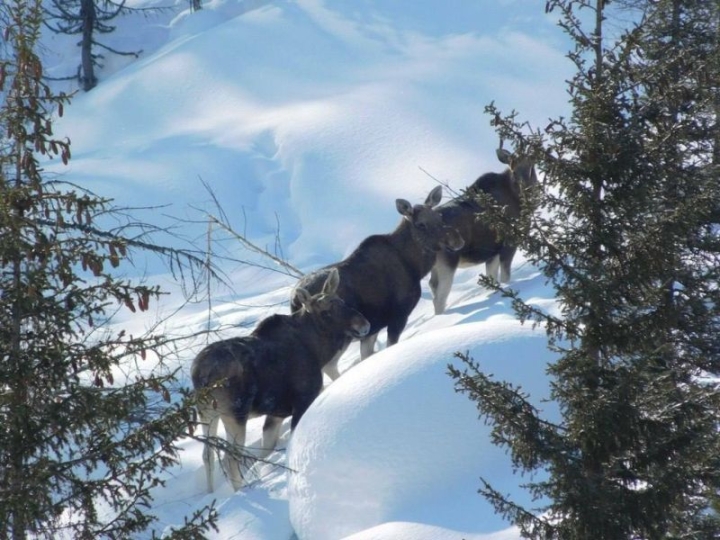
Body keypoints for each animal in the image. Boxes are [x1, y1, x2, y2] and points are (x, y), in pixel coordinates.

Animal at [191, 268, 370, 492]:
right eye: (325, 312)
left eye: (342, 301)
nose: (364, 325)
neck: (317, 350)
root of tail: (199, 375)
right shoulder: (302, 401)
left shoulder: (276, 413)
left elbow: (266, 450)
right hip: (235, 414)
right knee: (230, 458)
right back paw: (240, 491)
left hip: (206, 414)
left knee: (208, 455)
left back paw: (211, 492)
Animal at [290, 185, 464, 373]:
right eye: (421, 224)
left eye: (439, 216)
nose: (456, 240)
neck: (415, 266)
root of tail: (295, 299)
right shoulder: (398, 315)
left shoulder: (372, 328)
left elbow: (367, 356)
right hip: (340, 334)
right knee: (329, 365)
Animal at [429, 147, 538, 315]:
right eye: (513, 171)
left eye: (532, 168)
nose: (526, 189)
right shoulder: (509, 243)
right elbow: (506, 277)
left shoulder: (492, 253)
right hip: (447, 262)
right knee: (439, 297)